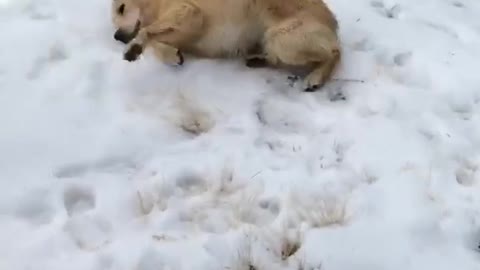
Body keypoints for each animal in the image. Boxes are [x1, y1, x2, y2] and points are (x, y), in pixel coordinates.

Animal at [109, 0, 342, 91]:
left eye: (121, 8)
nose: (117, 36)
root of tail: (333, 20)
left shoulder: (190, 13)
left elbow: (146, 31)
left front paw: (134, 47)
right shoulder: (189, 31)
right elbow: (157, 44)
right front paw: (172, 55)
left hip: (283, 37)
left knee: (335, 51)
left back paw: (316, 77)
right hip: (275, 41)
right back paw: (258, 59)